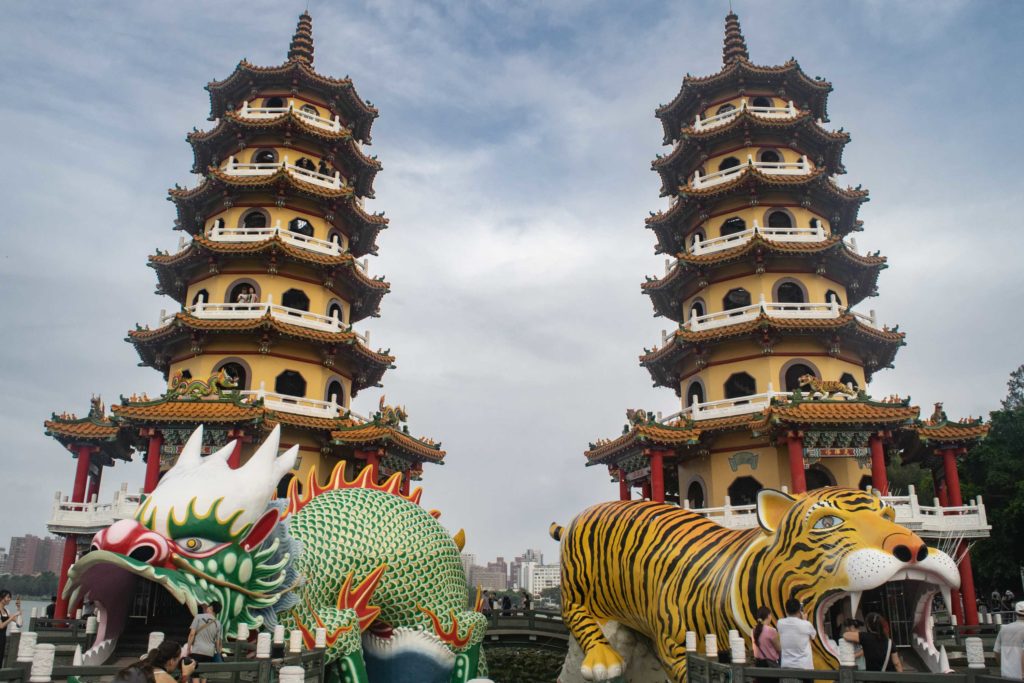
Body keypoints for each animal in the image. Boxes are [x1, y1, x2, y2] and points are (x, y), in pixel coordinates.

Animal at [552, 489, 958, 679]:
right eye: (827, 523)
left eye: (888, 515)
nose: (914, 548)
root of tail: (581, 513)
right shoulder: (677, 642)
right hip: (576, 584)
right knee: (578, 616)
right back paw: (602, 660)